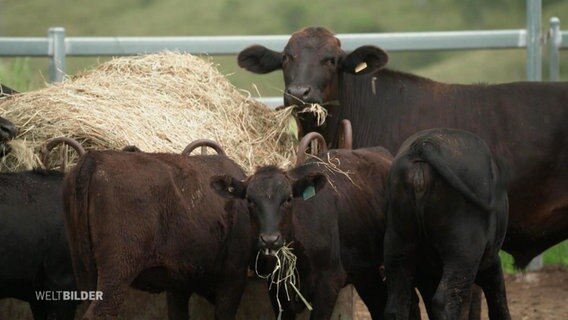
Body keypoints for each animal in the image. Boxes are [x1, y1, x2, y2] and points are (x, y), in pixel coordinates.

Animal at [384, 128, 512, 320]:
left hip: (399, 244)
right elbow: (498, 302)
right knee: (446, 300)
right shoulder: (490, 262)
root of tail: (423, 145)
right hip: (463, 251)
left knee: (396, 304)